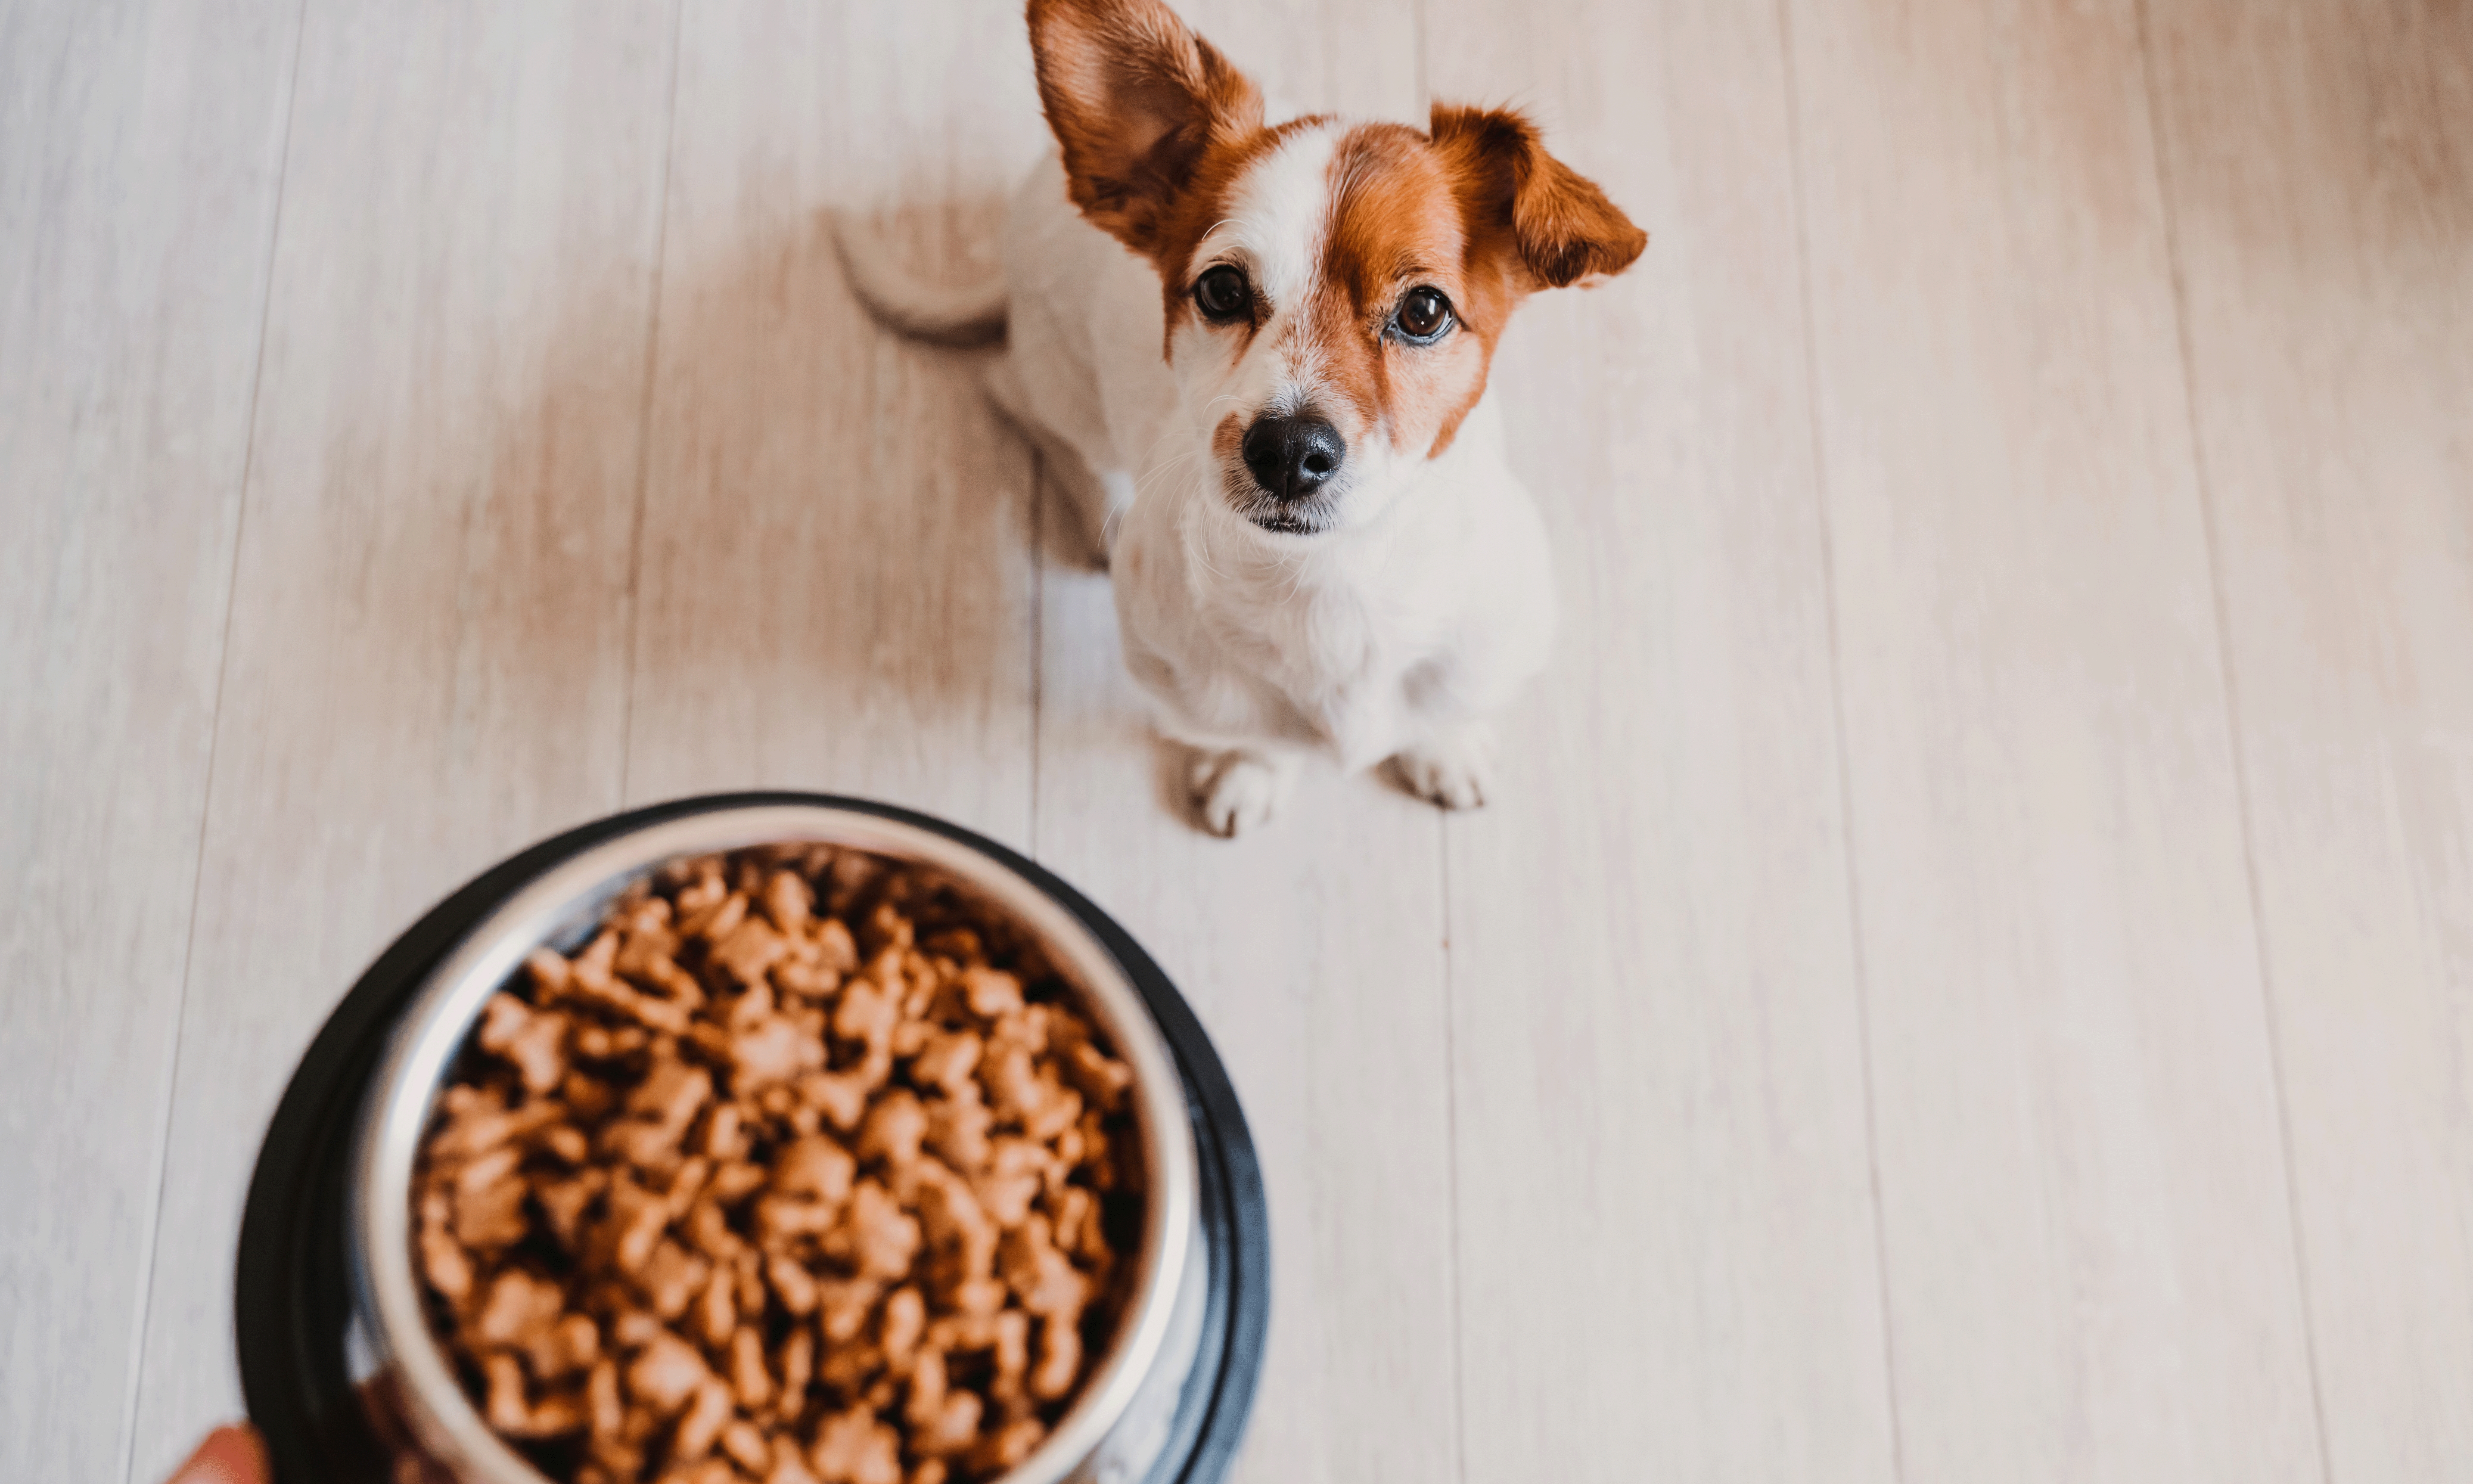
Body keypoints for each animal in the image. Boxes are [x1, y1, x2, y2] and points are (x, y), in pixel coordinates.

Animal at [841, 0, 1652, 836]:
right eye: (1222, 290)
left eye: (1424, 311)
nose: (1288, 449)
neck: (1330, 584)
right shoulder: (1192, 690)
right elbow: (1256, 737)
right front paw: (1250, 770)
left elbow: (1444, 710)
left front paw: (1444, 746)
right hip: (1057, 382)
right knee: (1018, 400)